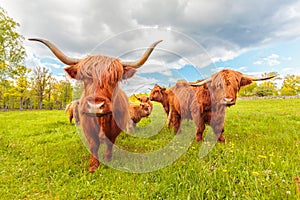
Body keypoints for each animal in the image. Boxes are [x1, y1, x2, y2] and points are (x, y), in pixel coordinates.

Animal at [29, 38, 162, 172]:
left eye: (115, 78)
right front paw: (93, 166)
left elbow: (110, 142)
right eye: (84, 78)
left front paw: (108, 159)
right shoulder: (87, 126)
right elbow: (93, 145)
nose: (95, 106)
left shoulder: (116, 127)